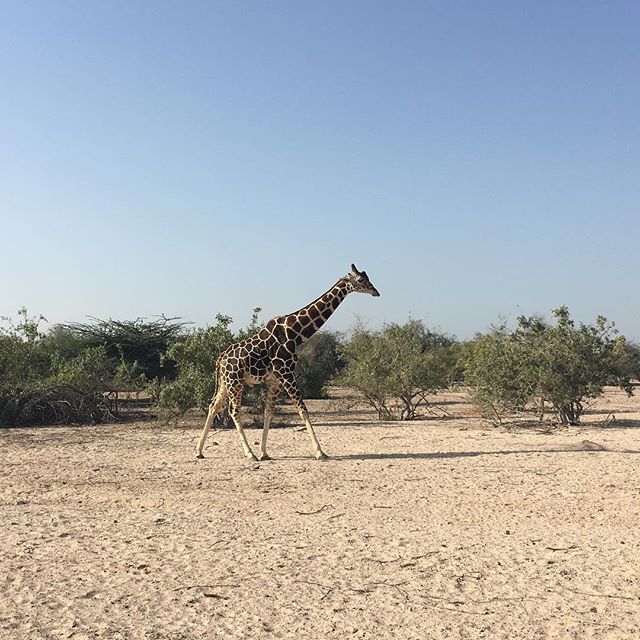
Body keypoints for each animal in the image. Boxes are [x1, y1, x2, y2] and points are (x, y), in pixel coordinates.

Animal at [196, 264, 380, 460]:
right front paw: (319, 452)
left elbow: (269, 412)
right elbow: (303, 409)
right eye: (361, 280)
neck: (295, 333)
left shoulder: (275, 381)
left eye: (367, 278)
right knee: (233, 410)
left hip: (226, 382)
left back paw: (199, 451)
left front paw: (264, 452)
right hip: (235, 381)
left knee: (213, 405)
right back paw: (249, 453)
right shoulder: (287, 374)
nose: (376, 292)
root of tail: (220, 359)